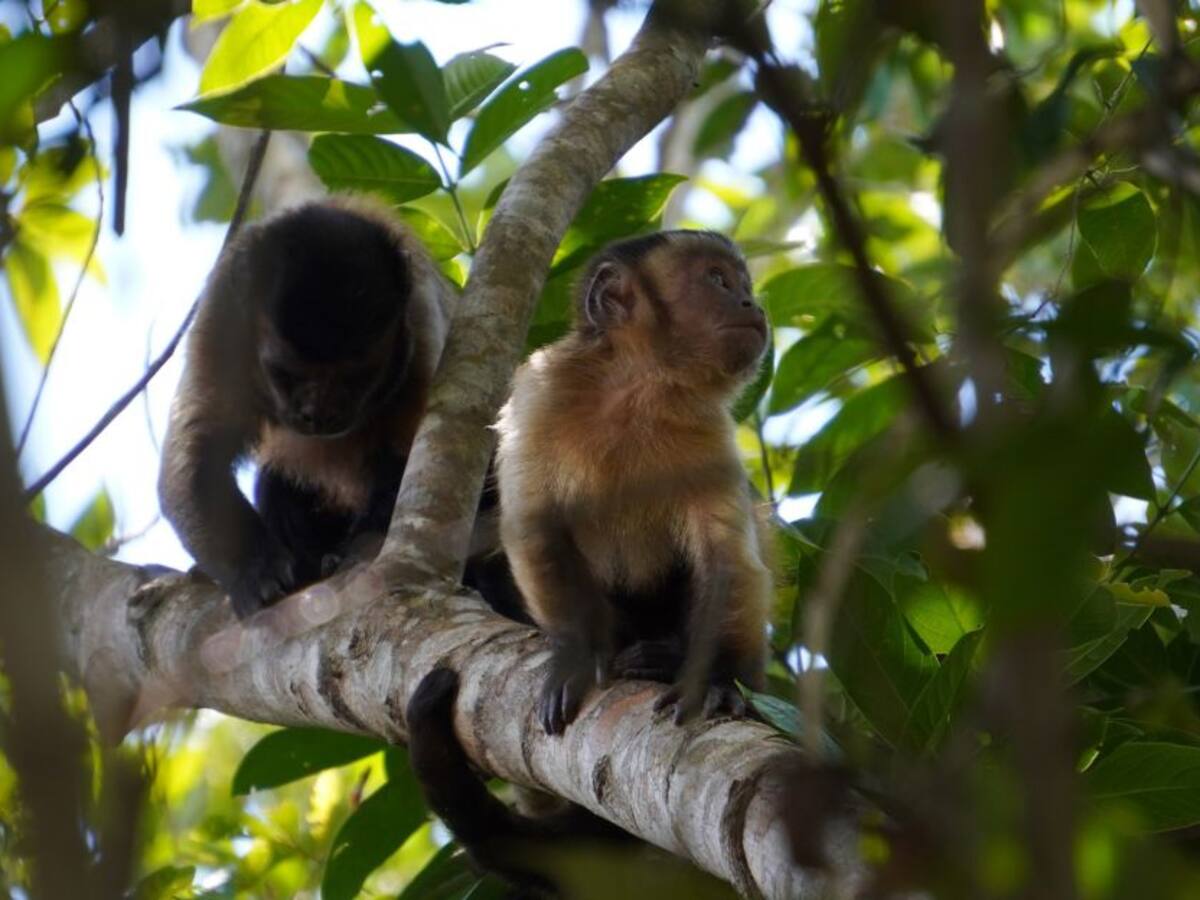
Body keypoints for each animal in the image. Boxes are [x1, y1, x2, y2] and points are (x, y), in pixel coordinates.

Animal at [158, 194, 452, 618]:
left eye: (357, 376)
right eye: (285, 373)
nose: (320, 413)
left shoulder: (421, 319)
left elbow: (408, 456)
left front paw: (358, 552)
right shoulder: (220, 320)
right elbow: (197, 457)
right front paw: (255, 568)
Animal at [495, 230, 774, 734]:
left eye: (743, 284)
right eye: (718, 280)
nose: (751, 303)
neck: (637, 390)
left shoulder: (708, 430)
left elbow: (727, 560)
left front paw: (716, 679)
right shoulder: (540, 393)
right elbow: (536, 529)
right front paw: (578, 654)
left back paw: (665, 660)